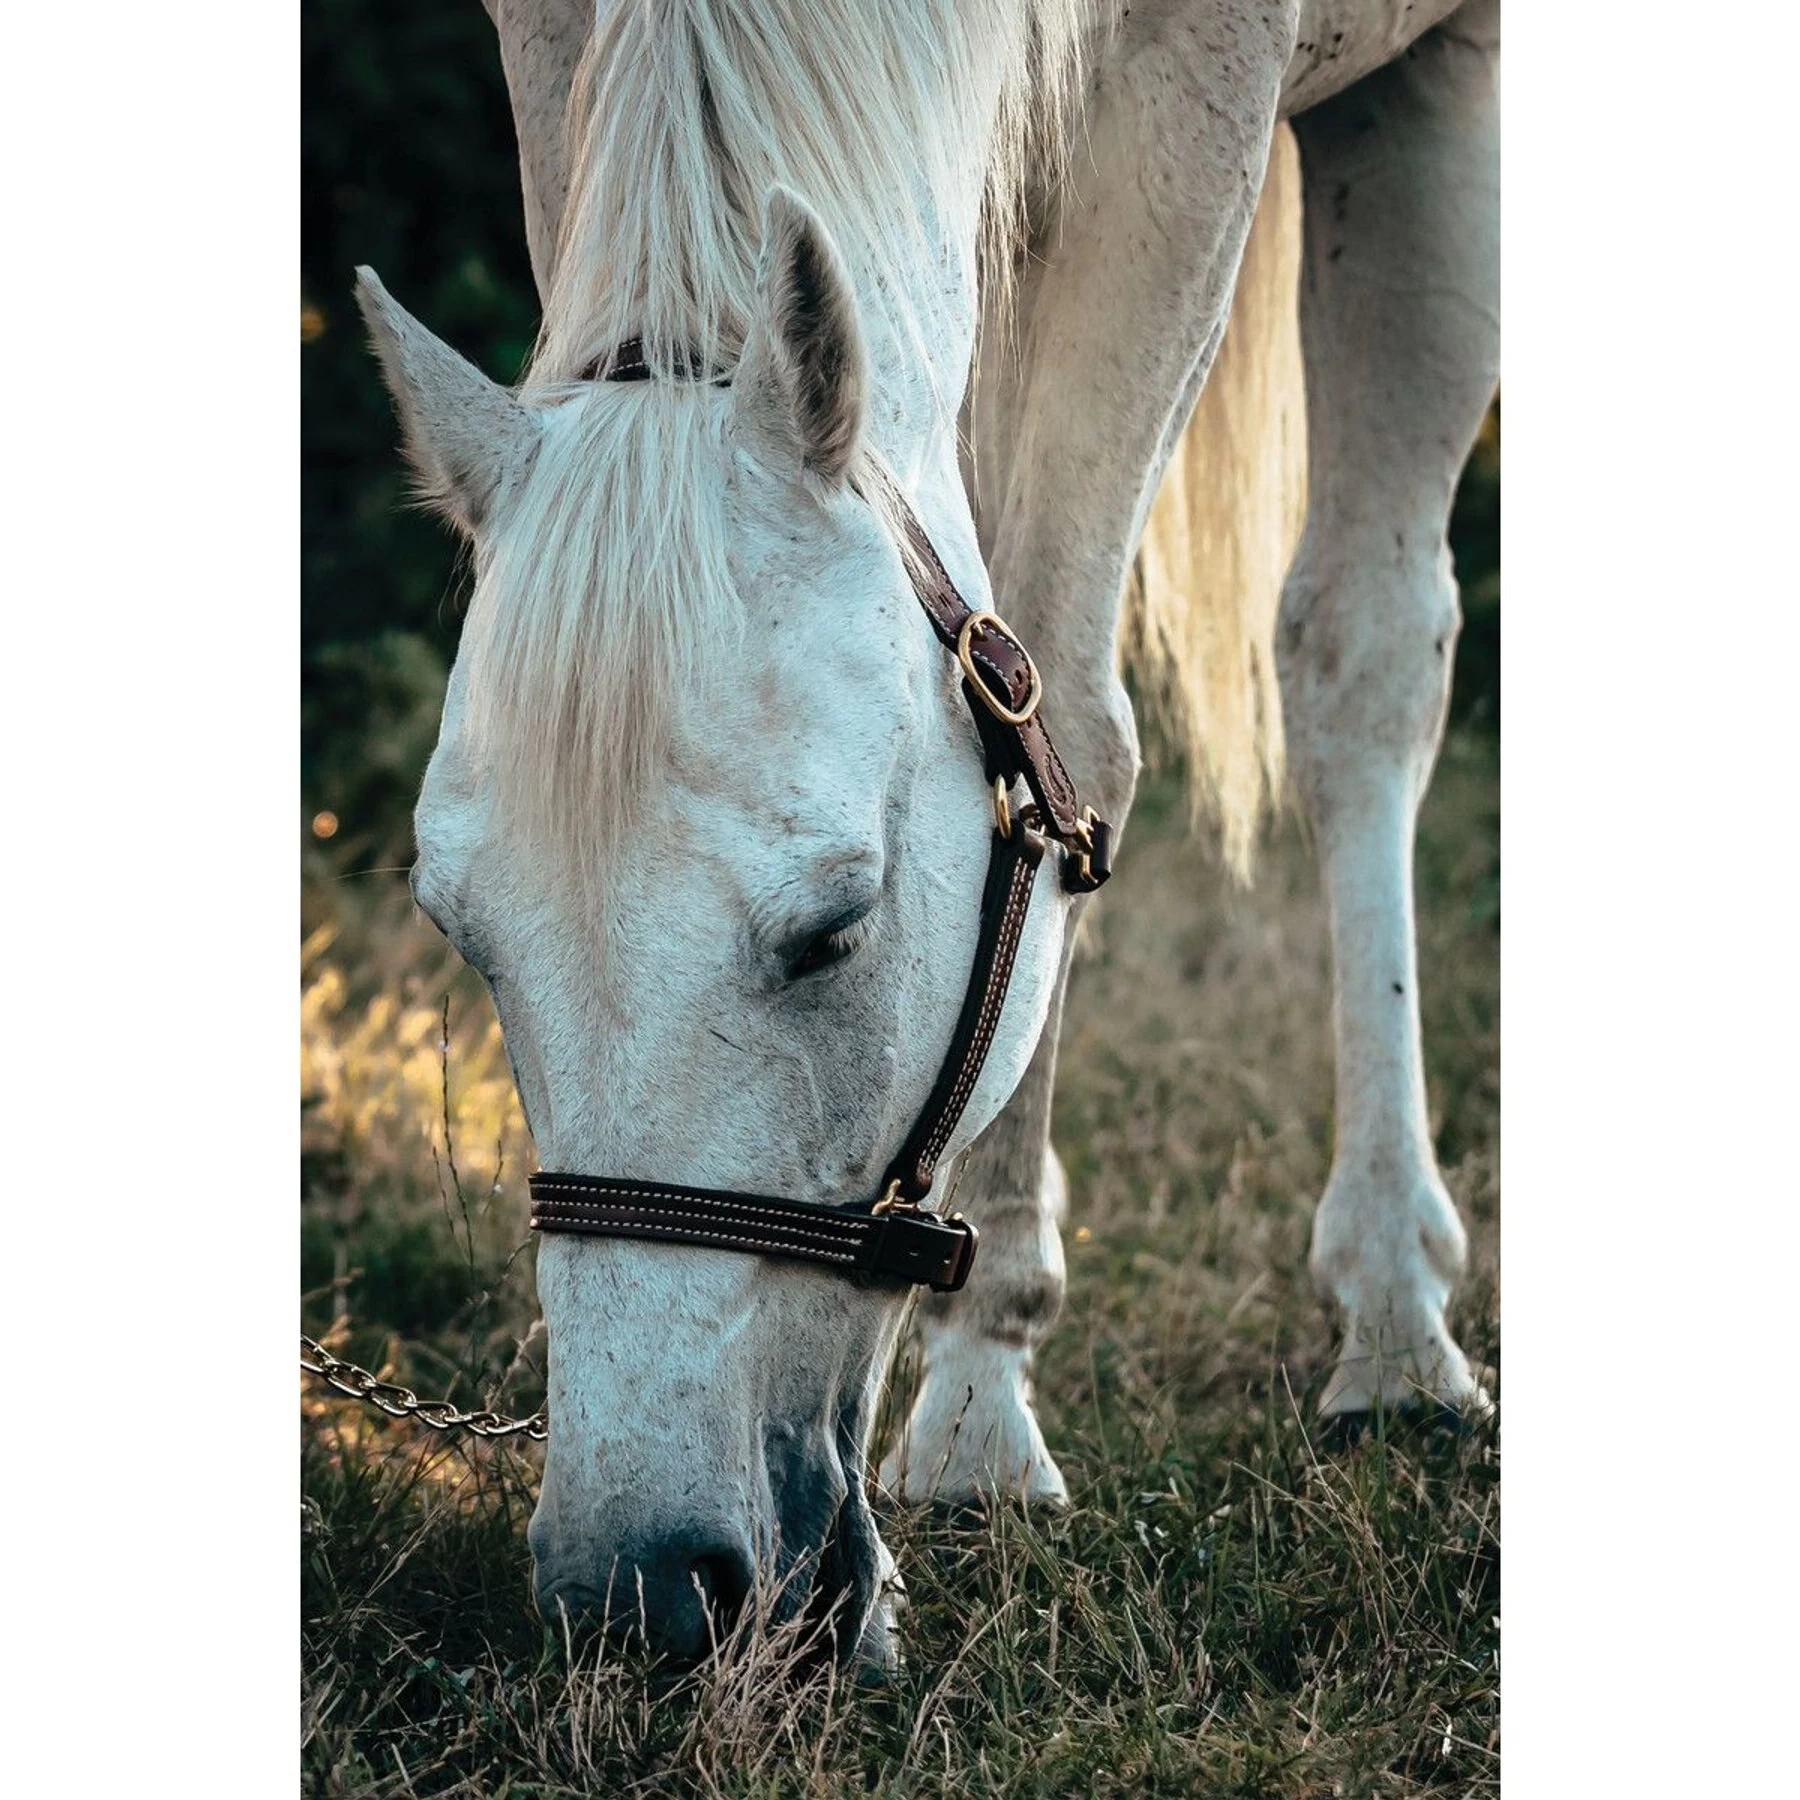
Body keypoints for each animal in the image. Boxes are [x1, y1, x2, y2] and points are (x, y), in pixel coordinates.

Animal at [353, 0, 1500, 1670]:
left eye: (833, 933)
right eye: (463, 936)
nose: (642, 1593)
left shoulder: (1192, 92)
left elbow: (1068, 707)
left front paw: (979, 1407)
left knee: (1363, 658)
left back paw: (1399, 1325)